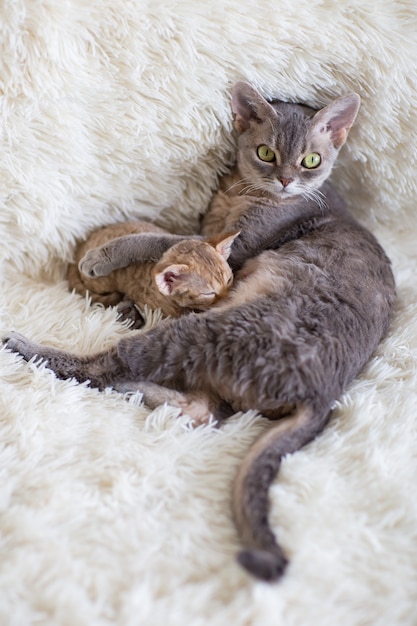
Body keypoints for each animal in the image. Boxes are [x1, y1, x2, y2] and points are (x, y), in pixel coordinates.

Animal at [2, 81, 394, 580]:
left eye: (311, 161)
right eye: (266, 153)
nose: (286, 180)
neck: (242, 194)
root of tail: (324, 396)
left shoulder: (236, 252)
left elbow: (165, 240)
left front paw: (103, 256)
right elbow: (182, 239)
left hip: (206, 331)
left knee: (101, 370)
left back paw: (27, 346)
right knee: (201, 412)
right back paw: (137, 382)